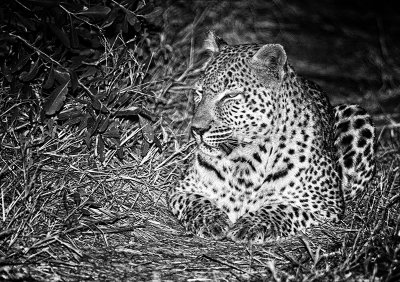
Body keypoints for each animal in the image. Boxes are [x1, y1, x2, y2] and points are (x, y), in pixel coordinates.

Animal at [167, 31, 376, 245]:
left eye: (230, 96)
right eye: (199, 92)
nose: (196, 129)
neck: (244, 157)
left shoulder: (326, 206)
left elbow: (283, 208)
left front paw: (251, 225)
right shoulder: (181, 190)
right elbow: (195, 201)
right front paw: (211, 220)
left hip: (356, 114)